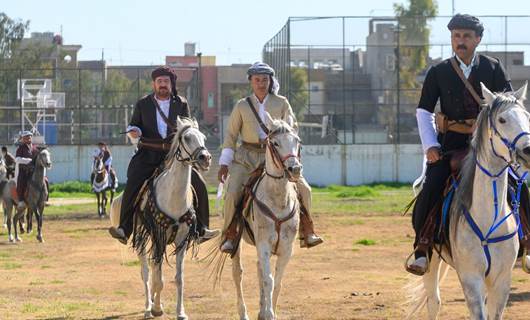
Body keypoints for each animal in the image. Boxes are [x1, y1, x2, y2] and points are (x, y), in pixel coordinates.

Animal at [109, 116, 210, 318]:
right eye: (187, 138)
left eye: (203, 137)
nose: (206, 158)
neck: (173, 196)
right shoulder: (159, 235)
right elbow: (157, 276)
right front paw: (155, 307)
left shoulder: (180, 240)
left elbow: (178, 278)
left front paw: (180, 312)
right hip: (142, 236)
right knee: (146, 271)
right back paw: (149, 307)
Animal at [406, 83, 530, 320]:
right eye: (502, 120)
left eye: (527, 117)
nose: (528, 150)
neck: (489, 218)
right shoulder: (471, 278)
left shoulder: (501, 280)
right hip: (430, 260)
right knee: (433, 301)